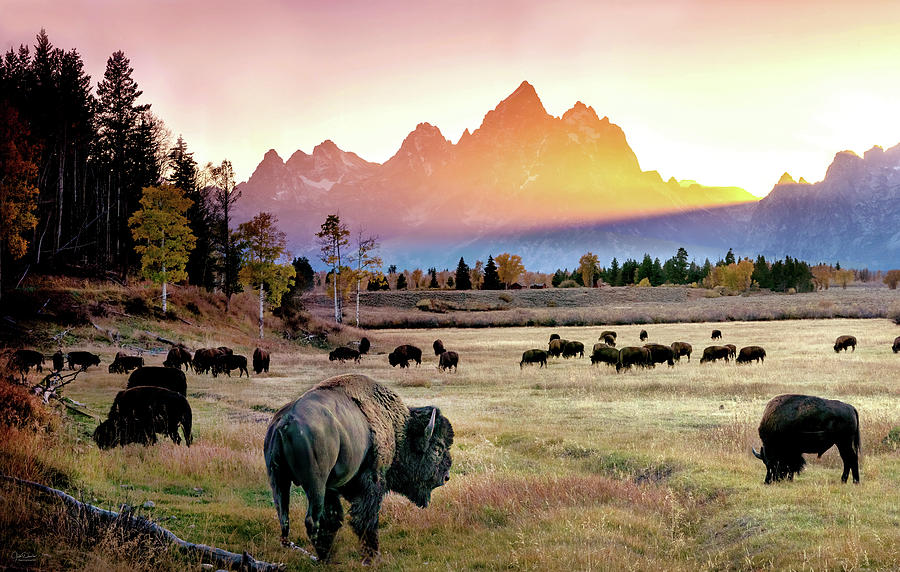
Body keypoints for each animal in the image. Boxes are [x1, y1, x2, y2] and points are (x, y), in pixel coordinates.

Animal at [264, 376, 454, 564]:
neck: (397, 430)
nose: (446, 477)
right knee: (312, 520)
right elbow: (366, 519)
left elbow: (334, 518)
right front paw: (373, 558)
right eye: (437, 449)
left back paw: (324, 556)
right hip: (315, 485)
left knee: (285, 520)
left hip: (278, 481)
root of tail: (285, 421)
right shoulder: (372, 482)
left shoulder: (331, 489)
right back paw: (326, 558)